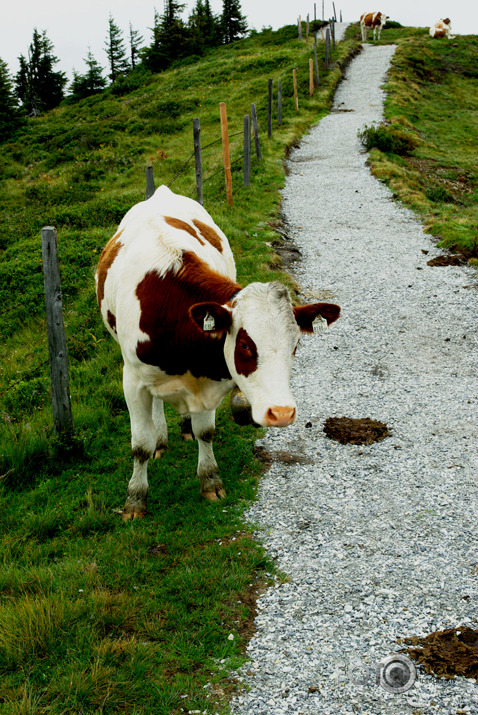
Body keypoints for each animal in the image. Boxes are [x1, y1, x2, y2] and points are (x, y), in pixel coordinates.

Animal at [96, 186, 340, 520]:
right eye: (245, 345)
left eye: (296, 346)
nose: (281, 413)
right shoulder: (132, 380)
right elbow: (140, 445)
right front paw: (135, 499)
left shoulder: (208, 376)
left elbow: (206, 432)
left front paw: (210, 480)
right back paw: (161, 438)